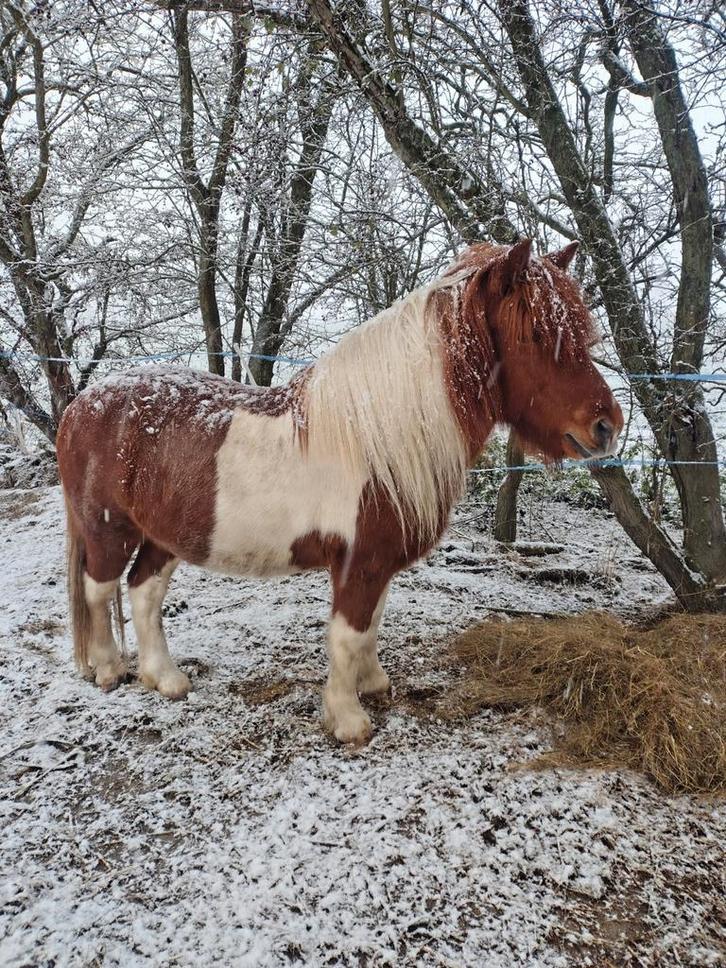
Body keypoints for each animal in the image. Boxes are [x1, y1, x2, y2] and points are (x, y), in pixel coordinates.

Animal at [57, 239, 623, 744]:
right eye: (537, 333)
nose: (607, 426)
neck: (377, 435)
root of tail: (82, 404)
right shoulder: (358, 561)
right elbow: (347, 636)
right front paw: (348, 720)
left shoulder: (380, 562)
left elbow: (371, 625)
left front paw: (372, 684)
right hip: (109, 530)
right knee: (100, 590)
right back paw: (109, 670)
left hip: (164, 536)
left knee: (144, 591)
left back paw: (165, 678)